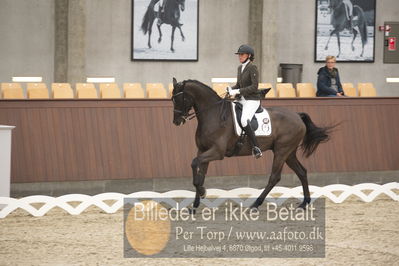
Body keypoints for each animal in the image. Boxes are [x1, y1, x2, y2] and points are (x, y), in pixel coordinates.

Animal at [172, 78, 334, 211]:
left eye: (179, 98)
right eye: (173, 99)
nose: (176, 122)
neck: (213, 114)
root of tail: (298, 116)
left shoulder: (217, 152)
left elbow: (194, 164)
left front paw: (202, 192)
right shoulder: (202, 150)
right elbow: (200, 174)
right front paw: (195, 204)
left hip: (282, 151)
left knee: (275, 177)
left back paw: (256, 204)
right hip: (289, 153)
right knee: (302, 172)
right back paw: (304, 203)